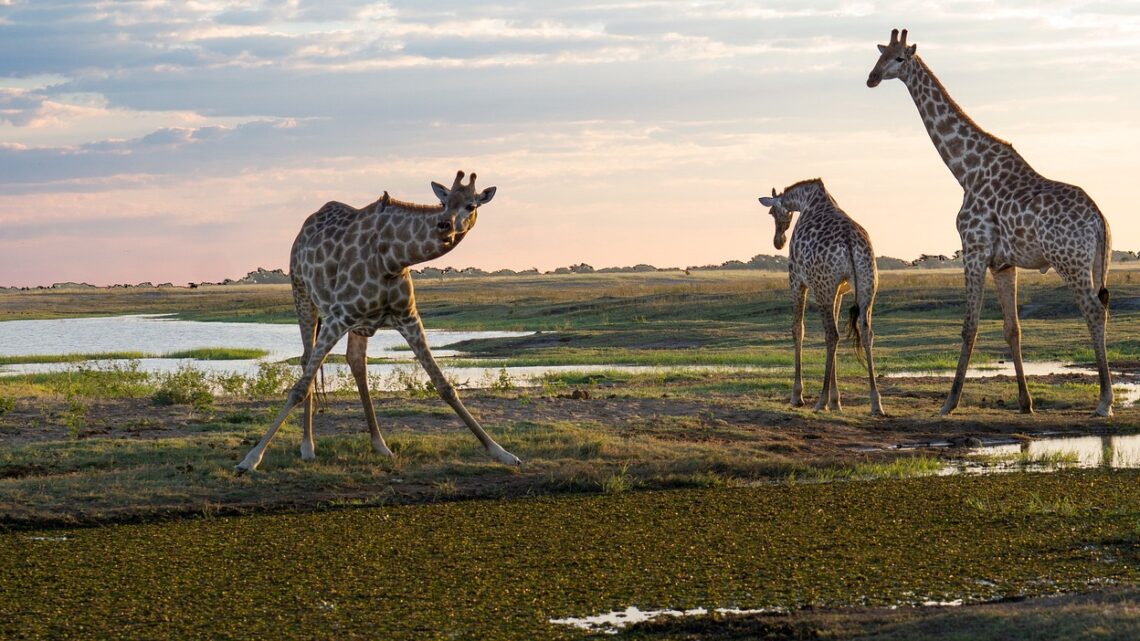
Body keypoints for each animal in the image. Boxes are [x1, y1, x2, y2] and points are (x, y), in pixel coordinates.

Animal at [235, 172, 522, 472]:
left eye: (471, 205)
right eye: (443, 202)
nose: (444, 225)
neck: (392, 259)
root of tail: (303, 231)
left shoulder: (408, 316)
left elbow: (443, 384)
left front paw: (501, 452)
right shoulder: (338, 316)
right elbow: (299, 387)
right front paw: (250, 458)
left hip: (357, 323)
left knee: (355, 361)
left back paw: (379, 444)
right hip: (302, 294)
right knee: (306, 361)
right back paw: (307, 446)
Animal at [761, 176, 884, 415]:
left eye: (771, 212)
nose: (778, 242)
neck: (805, 201)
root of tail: (850, 242)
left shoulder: (796, 281)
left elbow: (798, 329)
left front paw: (797, 396)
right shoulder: (840, 290)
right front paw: (836, 401)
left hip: (822, 288)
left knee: (832, 334)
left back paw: (820, 401)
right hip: (866, 286)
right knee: (866, 333)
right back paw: (876, 403)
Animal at [866, 29, 1108, 417]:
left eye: (900, 58)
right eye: (879, 54)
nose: (872, 78)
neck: (967, 170)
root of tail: (1099, 219)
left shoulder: (974, 249)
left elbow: (969, 326)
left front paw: (948, 402)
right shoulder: (1003, 264)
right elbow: (1012, 329)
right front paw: (1026, 402)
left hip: (1069, 261)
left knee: (1094, 311)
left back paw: (1104, 401)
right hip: (1095, 262)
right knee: (1100, 309)